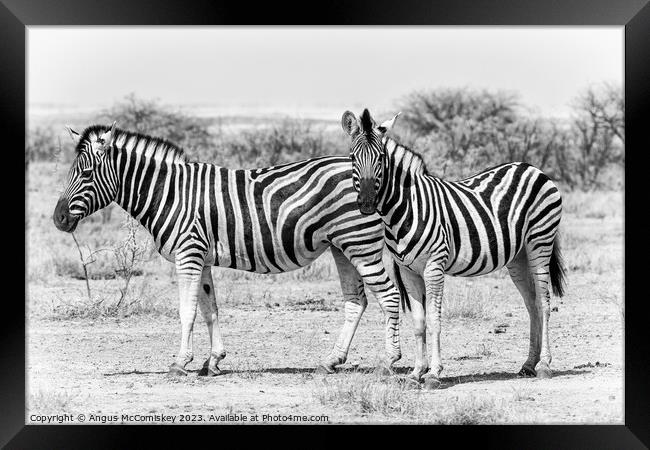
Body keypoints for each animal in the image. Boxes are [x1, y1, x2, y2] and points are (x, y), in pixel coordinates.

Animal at [53, 122, 402, 376]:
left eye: (85, 174)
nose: (58, 219)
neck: (169, 192)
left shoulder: (188, 254)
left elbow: (187, 311)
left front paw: (180, 362)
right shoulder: (202, 258)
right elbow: (210, 310)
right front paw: (213, 361)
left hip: (360, 243)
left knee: (389, 295)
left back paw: (390, 362)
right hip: (342, 246)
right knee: (356, 301)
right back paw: (331, 361)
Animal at [342, 107, 564, 388]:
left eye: (381, 158)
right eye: (353, 157)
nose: (367, 203)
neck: (405, 208)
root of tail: (532, 167)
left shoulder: (434, 266)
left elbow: (434, 320)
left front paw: (434, 374)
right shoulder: (408, 271)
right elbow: (418, 321)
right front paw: (416, 372)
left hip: (540, 242)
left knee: (544, 302)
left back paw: (544, 365)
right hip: (518, 256)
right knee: (532, 303)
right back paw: (528, 365)